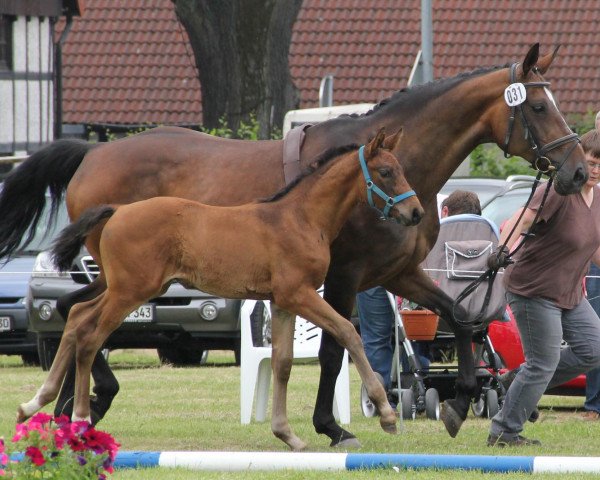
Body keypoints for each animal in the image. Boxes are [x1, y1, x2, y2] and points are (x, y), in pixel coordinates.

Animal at [16, 130, 424, 450]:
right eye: (386, 172)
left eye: (403, 169)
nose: (416, 213)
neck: (300, 217)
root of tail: (117, 210)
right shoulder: (301, 294)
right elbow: (348, 334)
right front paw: (386, 414)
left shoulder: (282, 302)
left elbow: (283, 363)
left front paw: (287, 434)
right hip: (129, 291)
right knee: (88, 334)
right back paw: (79, 418)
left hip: (125, 287)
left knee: (77, 317)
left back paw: (35, 404)